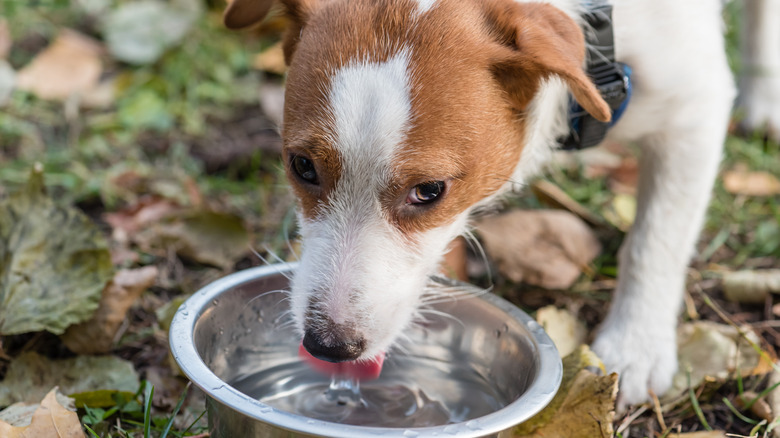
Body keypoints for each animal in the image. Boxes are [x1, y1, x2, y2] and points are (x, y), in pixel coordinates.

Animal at [224, 0, 736, 408]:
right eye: (302, 166)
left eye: (430, 190)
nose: (329, 346)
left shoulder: (696, 113)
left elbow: (656, 240)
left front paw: (636, 345)